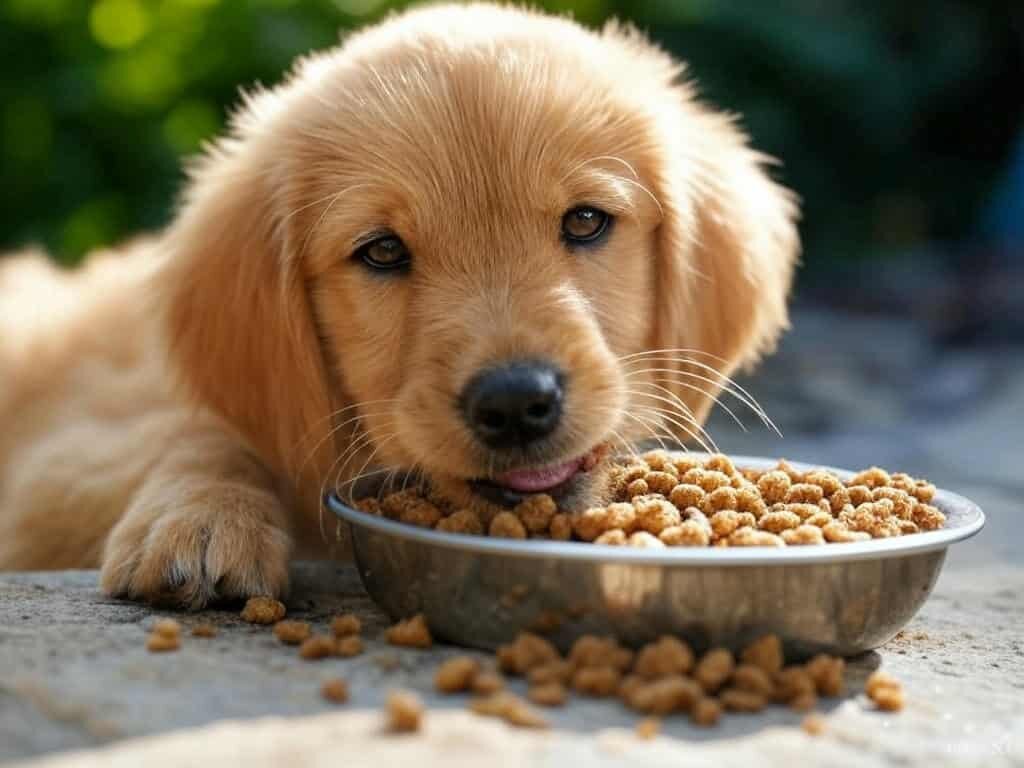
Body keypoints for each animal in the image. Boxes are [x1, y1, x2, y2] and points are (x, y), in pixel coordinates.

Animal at [0, 4, 798, 606]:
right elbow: (202, 432)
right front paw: (198, 517)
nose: (515, 404)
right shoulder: (64, 458)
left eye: (585, 221)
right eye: (382, 252)